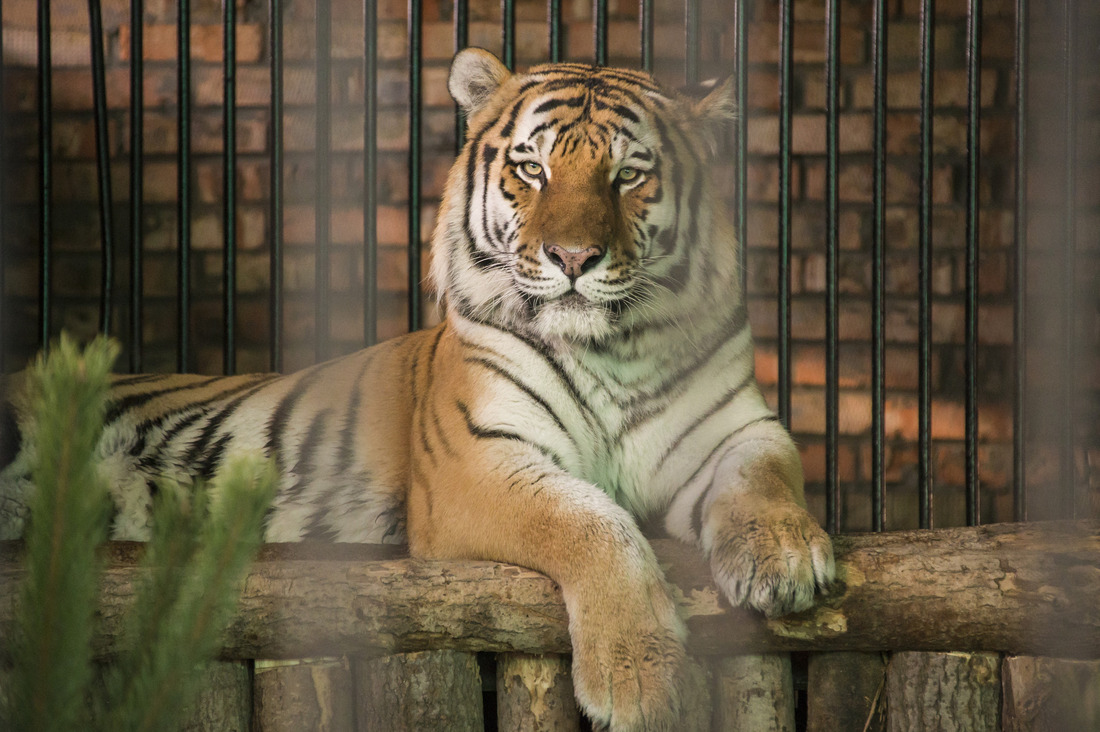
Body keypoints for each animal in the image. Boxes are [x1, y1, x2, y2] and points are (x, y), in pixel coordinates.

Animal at [2, 47, 831, 730]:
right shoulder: (475, 463)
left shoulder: (737, 429)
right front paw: (639, 679)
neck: (612, 350)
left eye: (629, 174)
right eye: (532, 169)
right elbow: (592, 521)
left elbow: (766, 478)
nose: (572, 257)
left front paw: (788, 558)